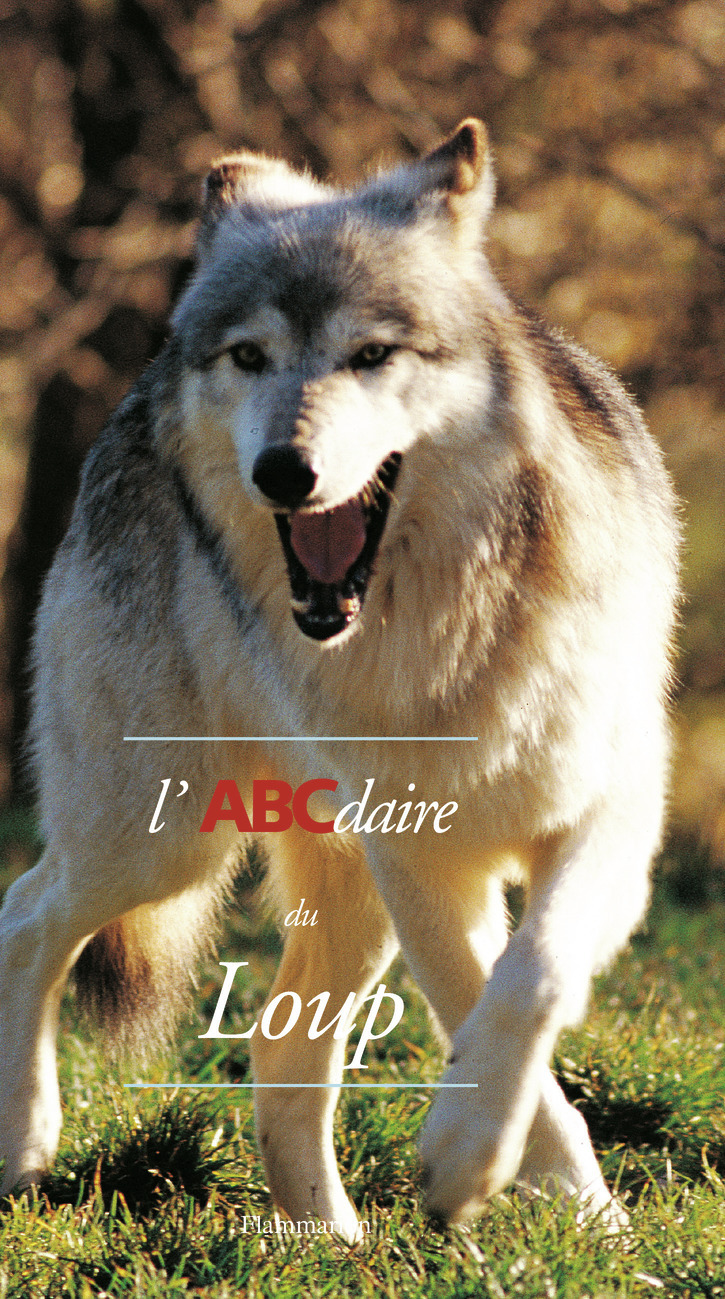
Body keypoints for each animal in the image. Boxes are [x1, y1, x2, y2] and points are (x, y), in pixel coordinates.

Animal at [0, 119, 679, 1242]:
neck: (443, 639)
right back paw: (26, 1139)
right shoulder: (422, 861)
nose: (285, 469)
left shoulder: (605, 815)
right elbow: (482, 1008)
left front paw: (568, 1216)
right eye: (249, 356)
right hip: (161, 841)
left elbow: (529, 979)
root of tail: (134, 398)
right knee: (27, 910)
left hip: (323, 890)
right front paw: (488, 1170)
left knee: (277, 1046)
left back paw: (329, 1241)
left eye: (371, 355)